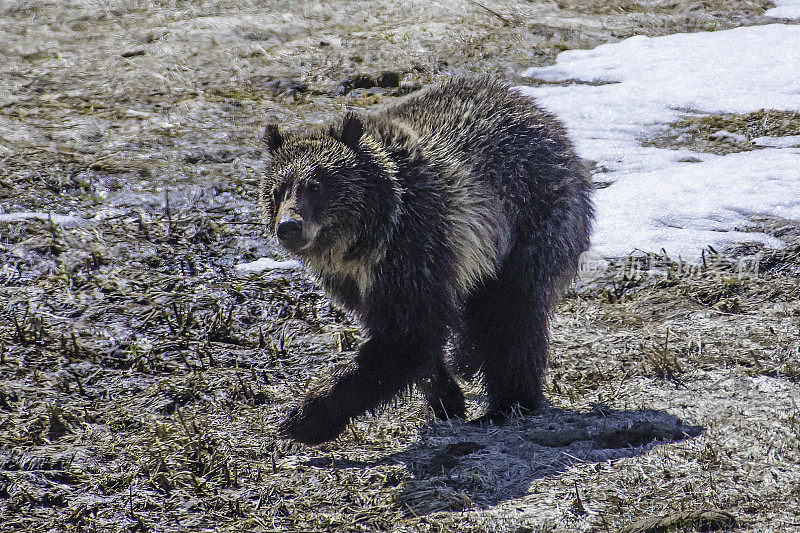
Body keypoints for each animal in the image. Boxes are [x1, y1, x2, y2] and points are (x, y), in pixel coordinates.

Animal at [260, 78, 592, 444]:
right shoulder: (353, 282)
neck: (360, 244)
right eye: (277, 190)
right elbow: (413, 342)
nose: (288, 226)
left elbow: (407, 335)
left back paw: (509, 404)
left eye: (316, 186)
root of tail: (547, 119)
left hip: (529, 222)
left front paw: (307, 416)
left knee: (512, 313)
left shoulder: (415, 246)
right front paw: (446, 400)